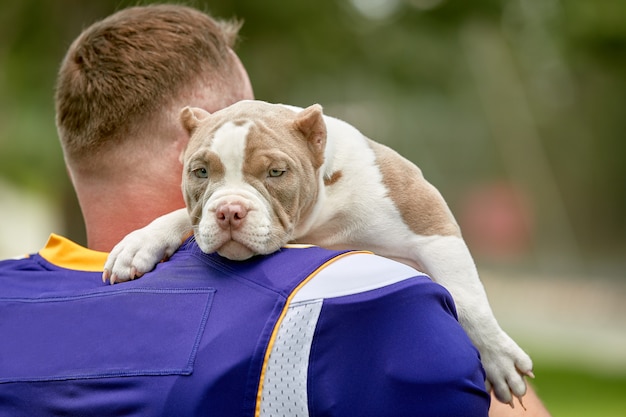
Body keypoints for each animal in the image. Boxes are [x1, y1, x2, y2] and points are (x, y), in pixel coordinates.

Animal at [102, 100, 532, 404]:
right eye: (200, 172)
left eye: (276, 172)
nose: (229, 211)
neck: (318, 220)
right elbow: (181, 215)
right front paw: (140, 242)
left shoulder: (431, 225)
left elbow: (467, 298)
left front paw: (498, 357)